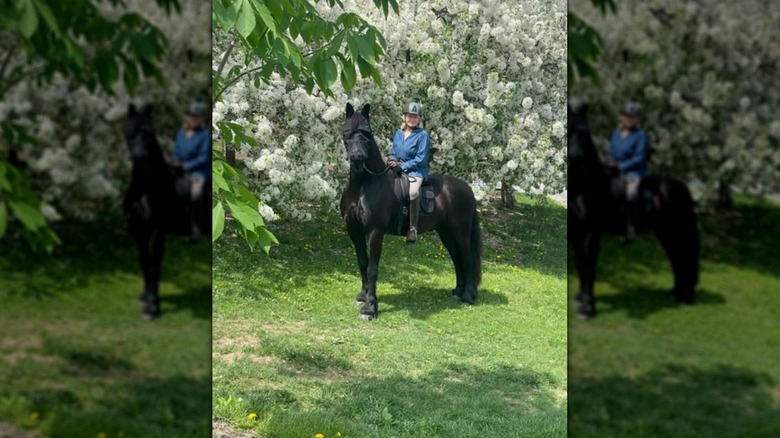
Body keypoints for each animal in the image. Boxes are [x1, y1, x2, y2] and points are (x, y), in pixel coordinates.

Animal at [123, 103, 210, 319]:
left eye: (149, 132)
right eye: (129, 132)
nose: (140, 157)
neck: (147, 188)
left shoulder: (158, 232)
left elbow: (154, 267)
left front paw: (152, 307)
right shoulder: (138, 231)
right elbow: (144, 264)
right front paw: (146, 296)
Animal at [340, 103, 482, 320]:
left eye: (367, 133)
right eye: (347, 133)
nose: (357, 159)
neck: (363, 185)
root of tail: (467, 189)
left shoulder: (375, 232)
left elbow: (372, 268)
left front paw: (370, 308)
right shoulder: (353, 230)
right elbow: (362, 262)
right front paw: (363, 296)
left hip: (461, 232)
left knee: (466, 257)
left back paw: (468, 295)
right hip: (446, 232)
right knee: (457, 258)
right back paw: (459, 291)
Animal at [568, 104, 699, 320]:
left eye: (585, 132)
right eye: (568, 131)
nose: (578, 159)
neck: (586, 186)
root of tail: (682, 187)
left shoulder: (594, 232)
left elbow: (589, 266)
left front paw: (588, 307)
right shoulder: (576, 233)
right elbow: (580, 264)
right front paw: (581, 296)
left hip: (675, 230)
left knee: (682, 255)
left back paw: (685, 296)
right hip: (664, 231)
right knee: (676, 257)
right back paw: (676, 292)